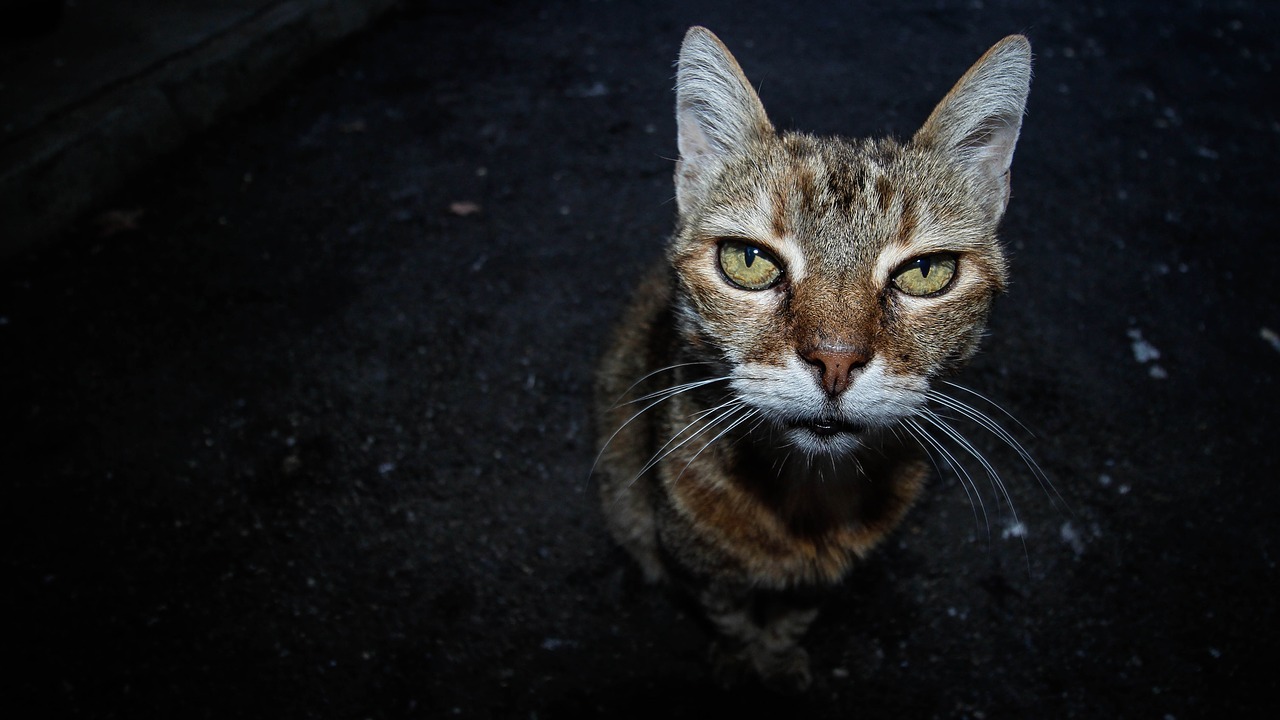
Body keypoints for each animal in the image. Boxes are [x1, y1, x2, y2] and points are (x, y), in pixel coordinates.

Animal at [593, 28, 1034, 691]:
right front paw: (741, 658)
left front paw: (775, 655)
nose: (836, 361)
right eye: (748, 260)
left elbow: (793, 616)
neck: (804, 500)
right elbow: (727, 614)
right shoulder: (697, 566)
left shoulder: (821, 580)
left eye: (927, 272)